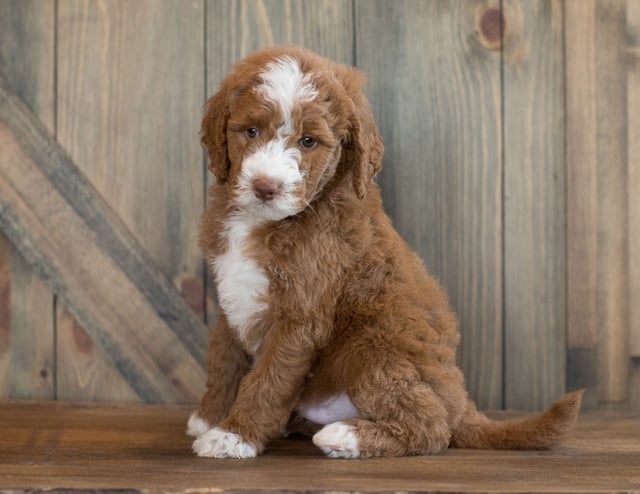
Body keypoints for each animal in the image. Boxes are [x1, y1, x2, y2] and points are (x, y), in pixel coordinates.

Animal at [186, 46, 584, 460]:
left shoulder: (300, 316)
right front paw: (210, 417)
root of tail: (460, 401)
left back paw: (344, 436)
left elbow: (268, 378)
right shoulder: (232, 298)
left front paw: (234, 436)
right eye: (250, 131)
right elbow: (224, 358)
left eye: (308, 141)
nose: (266, 186)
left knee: (432, 427)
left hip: (375, 346)